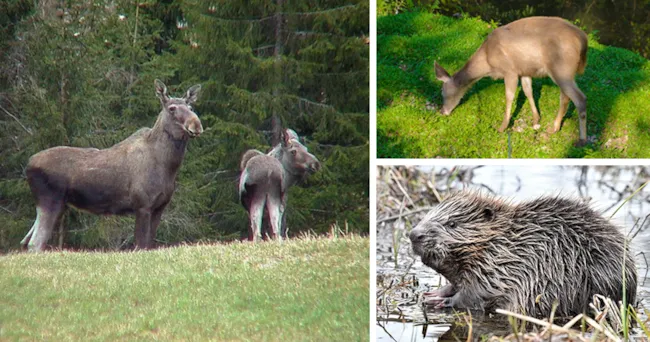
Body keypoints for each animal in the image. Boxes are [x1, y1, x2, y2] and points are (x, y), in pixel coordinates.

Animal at [21, 79, 201, 251]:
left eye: (190, 106)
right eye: (172, 108)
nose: (196, 125)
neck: (168, 167)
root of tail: (28, 165)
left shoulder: (159, 207)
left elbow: (149, 244)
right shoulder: (143, 205)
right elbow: (141, 245)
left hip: (56, 205)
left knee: (27, 241)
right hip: (49, 200)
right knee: (35, 243)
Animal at [408, 191, 636, 316]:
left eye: (452, 224)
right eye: (427, 215)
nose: (414, 234)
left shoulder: (501, 269)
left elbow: (474, 295)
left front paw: (437, 301)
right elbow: (455, 285)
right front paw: (431, 294)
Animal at [432, 16, 588, 143]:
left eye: (443, 93)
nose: (442, 112)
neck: (488, 60)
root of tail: (583, 40)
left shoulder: (510, 71)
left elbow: (509, 96)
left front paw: (502, 127)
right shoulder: (524, 70)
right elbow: (528, 91)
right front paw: (536, 120)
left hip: (561, 68)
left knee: (580, 98)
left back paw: (581, 139)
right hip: (564, 72)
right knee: (566, 97)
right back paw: (555, 127)